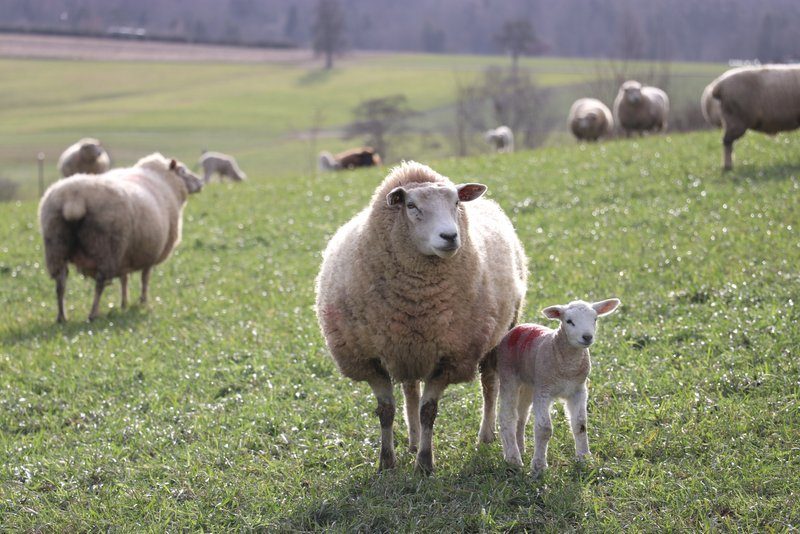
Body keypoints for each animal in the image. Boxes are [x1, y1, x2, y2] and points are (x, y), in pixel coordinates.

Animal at [38, 153, 203, 322]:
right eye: (182, 171)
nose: (200, 183)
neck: (164, 179)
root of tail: (74, 199)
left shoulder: (125, 254)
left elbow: (124, 279)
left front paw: (124, 303)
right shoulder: (149, 254)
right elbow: (145, 279)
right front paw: (143, 302)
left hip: (56, 245)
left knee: (60, 283)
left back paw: (61, 317)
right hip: (105, 246)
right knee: (99, 283)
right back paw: (93, 314)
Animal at [315, 161, 528, 473]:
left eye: (456, 202)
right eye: (411, 205)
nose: (450, 236)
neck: (417, 300)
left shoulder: (451, 358)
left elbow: (429, 411)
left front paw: (425, 463)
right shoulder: (369, 358)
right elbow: (387, 411)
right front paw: (387, 462)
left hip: (498, 332)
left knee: (489, 385)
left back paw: (485, 435)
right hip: (407, 348)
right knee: (410, 391)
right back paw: (413, 441)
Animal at [488, 298, 620, 477]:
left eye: (595, 319)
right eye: (569, 321)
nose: (587, 337)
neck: (567, 366)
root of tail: (519, 327)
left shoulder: (578, 390)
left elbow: (580, 425)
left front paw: (585, 458)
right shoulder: (544, 391)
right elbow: (544, 429)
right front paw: (539, 466)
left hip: (529, 384)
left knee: (521, 417)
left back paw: (520, 448)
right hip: (509, 376)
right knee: (507, 416)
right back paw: (513, 458)